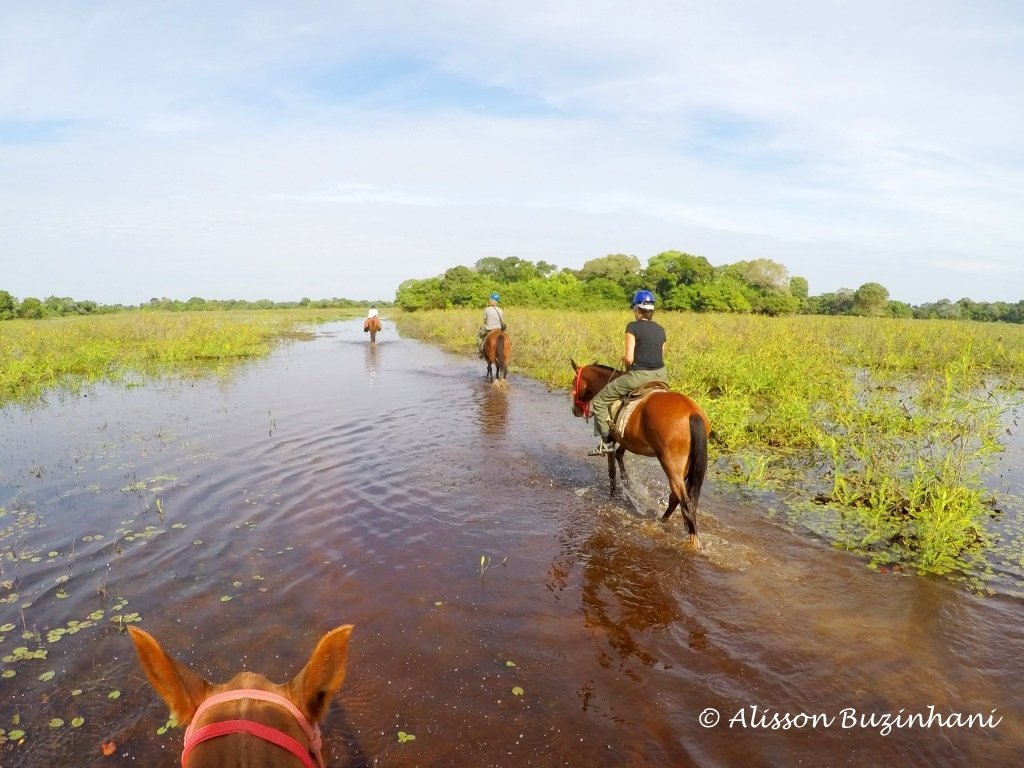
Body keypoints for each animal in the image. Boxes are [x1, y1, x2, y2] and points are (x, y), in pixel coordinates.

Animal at [569, 360, 712, 548]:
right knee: (676, 498)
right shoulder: (627, 440)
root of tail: (692, 413)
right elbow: (619, 457)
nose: (575, 410)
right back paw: (661, 521)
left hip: (671, 464)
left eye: (573, 383)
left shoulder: (612, 437)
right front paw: (628, 486)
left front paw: (613, 495)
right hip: (686, 464)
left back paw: (692, 543)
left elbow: (611, 469)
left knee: (685, 503)